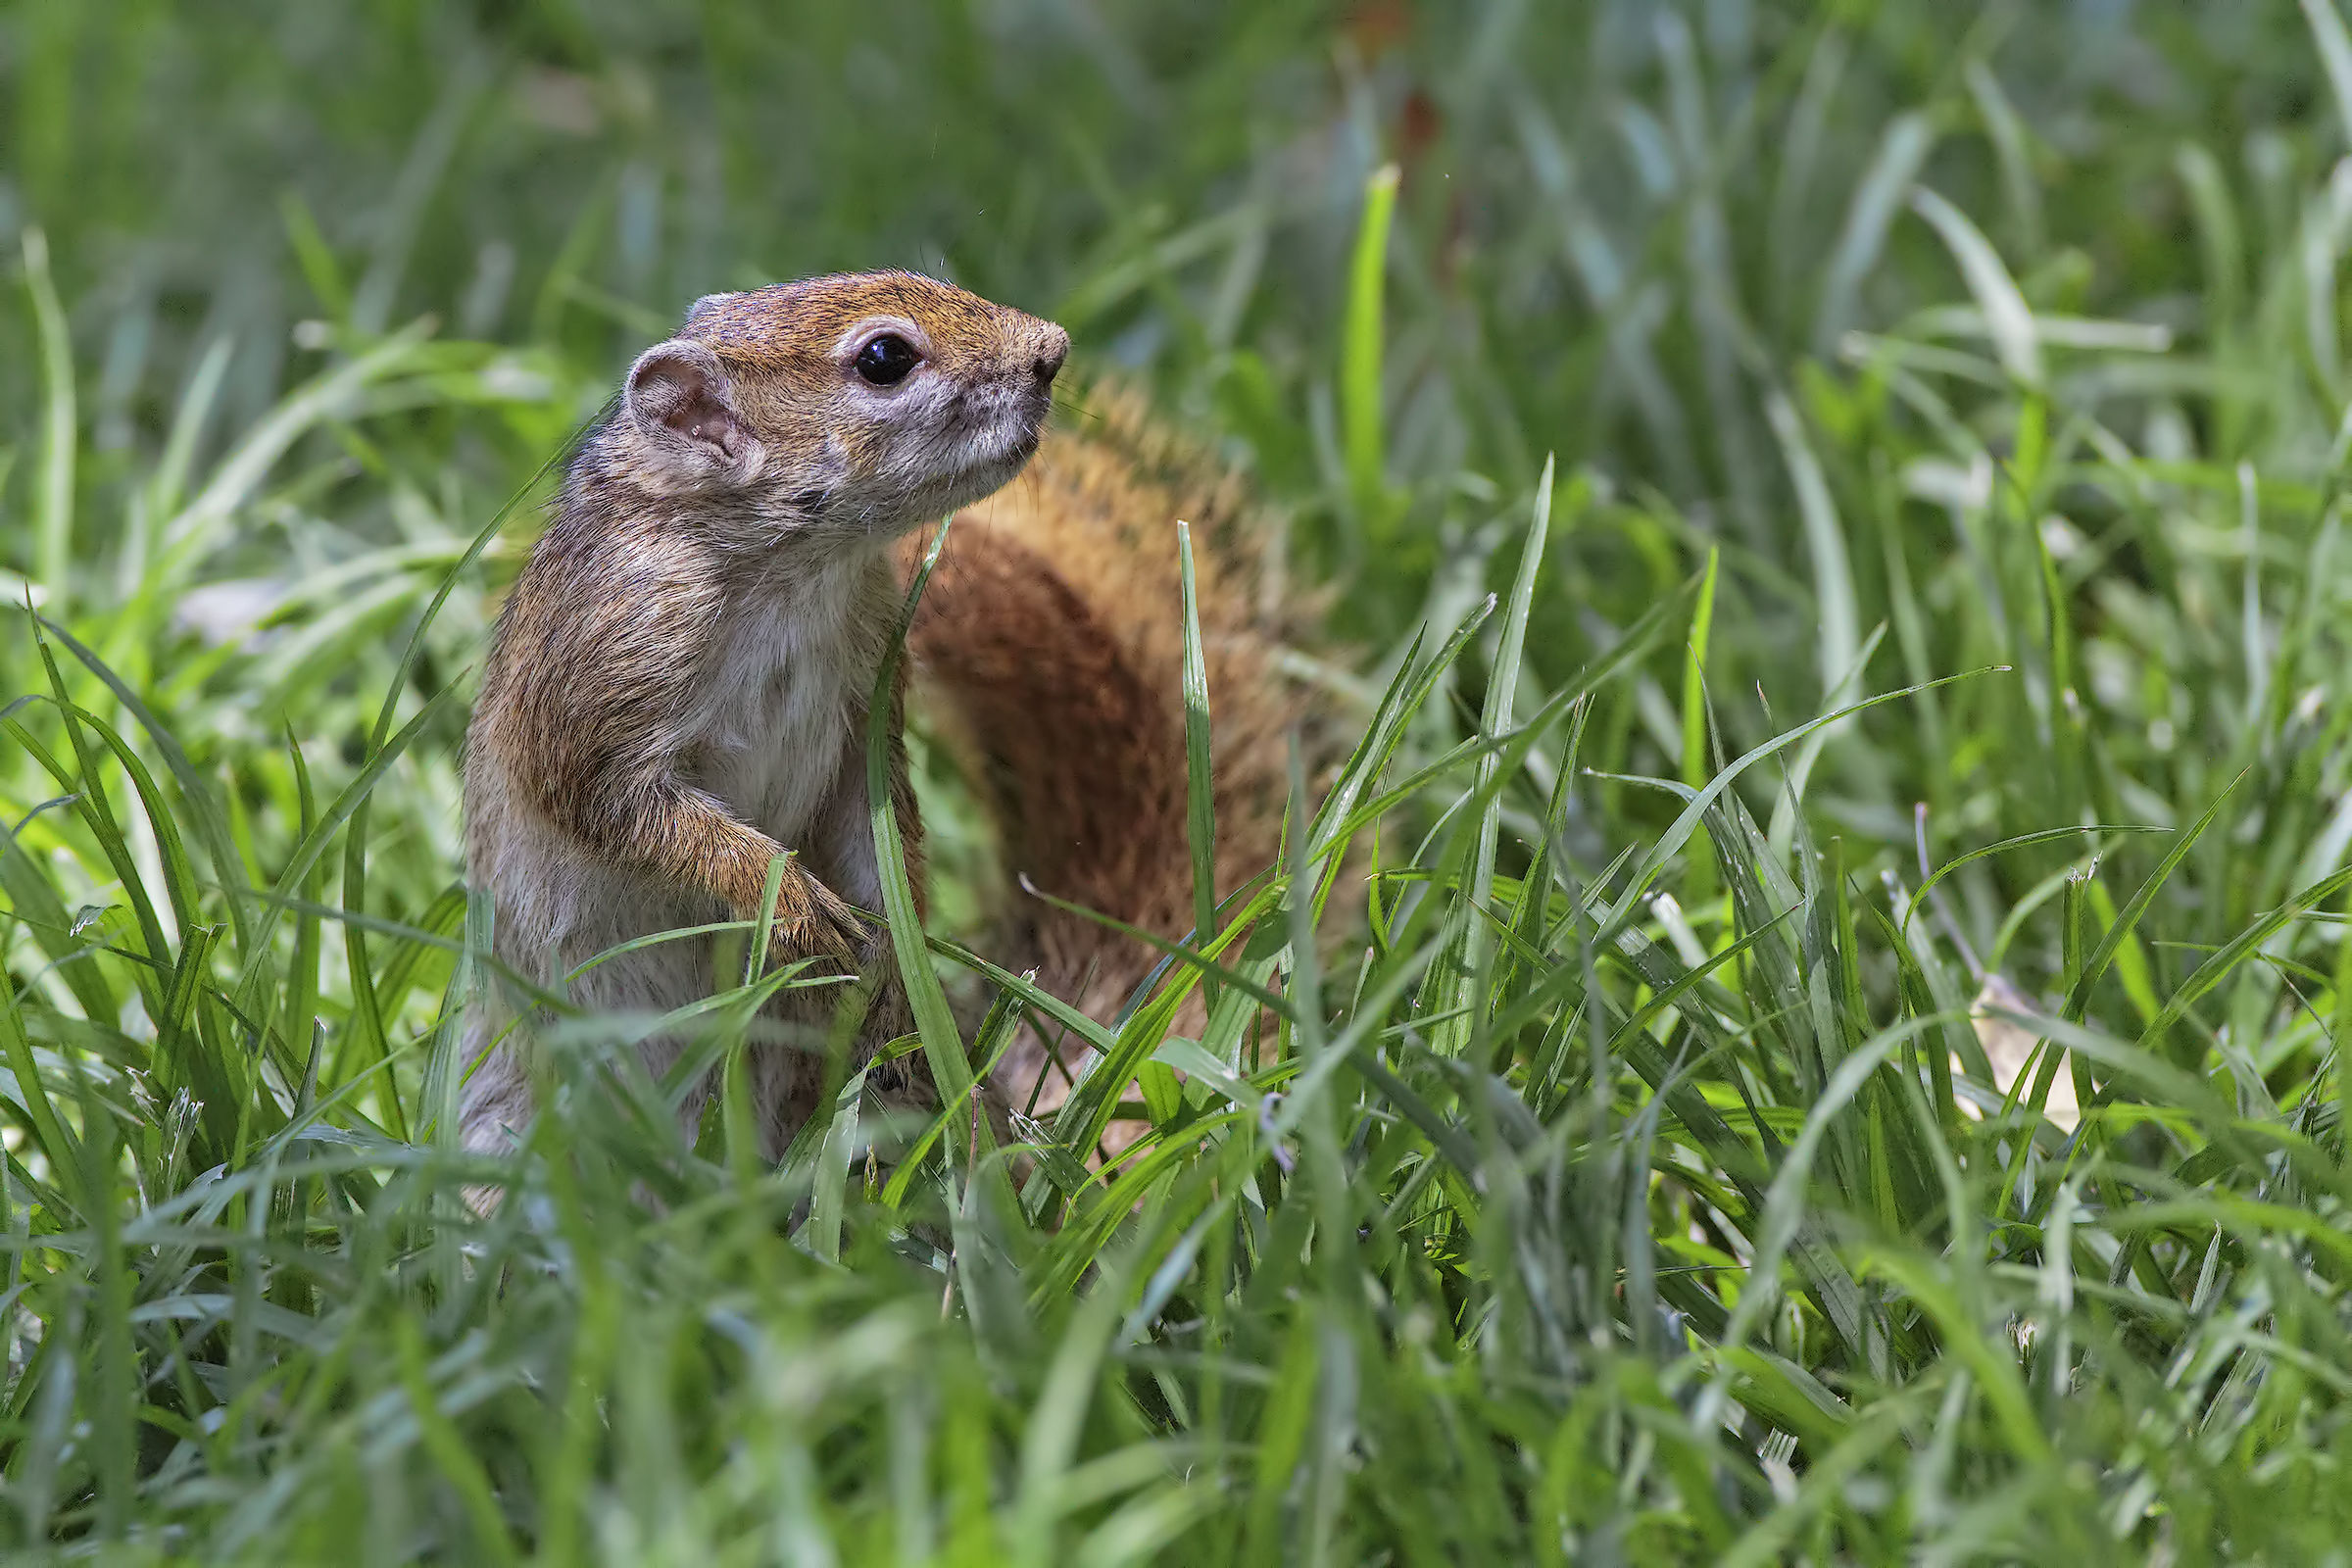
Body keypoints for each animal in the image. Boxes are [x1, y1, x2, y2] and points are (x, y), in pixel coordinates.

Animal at [458, 271, 1297, 1162]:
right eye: (885, 359)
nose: (1052, 351)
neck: (794, 577)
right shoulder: (594, 670)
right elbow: (615, 804)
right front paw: (787, 901)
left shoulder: (869, 698)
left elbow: (876, 831)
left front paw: (896, 961)